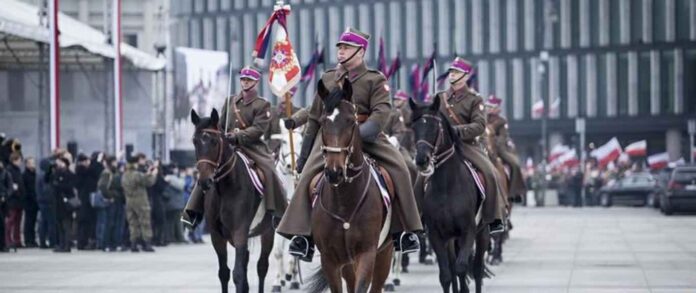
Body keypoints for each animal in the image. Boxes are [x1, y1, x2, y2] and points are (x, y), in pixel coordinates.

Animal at [193, 108, 278, 290]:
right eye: (195, 141)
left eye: (214, 142)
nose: (204, 181)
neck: (225, 188)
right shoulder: (216, 236)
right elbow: (224, 273)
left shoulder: (239, 231)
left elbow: (238, 274)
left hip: (268, 231)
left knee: (262, 266)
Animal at [308, 79, 394, 292]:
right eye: (323, 121)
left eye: (351, 121)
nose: (334, 172)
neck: (344, 200)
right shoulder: (330, 259)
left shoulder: (367, 253)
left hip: (384, 252)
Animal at [410, 96, 492, 292]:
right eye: (414, 127)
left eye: (434, 127)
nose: (421, 160)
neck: (446, 187)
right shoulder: (437, 235)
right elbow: (447, 275)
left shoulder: (468, 231)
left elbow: (462, 268)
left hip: (482, 232)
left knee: (477, 269)